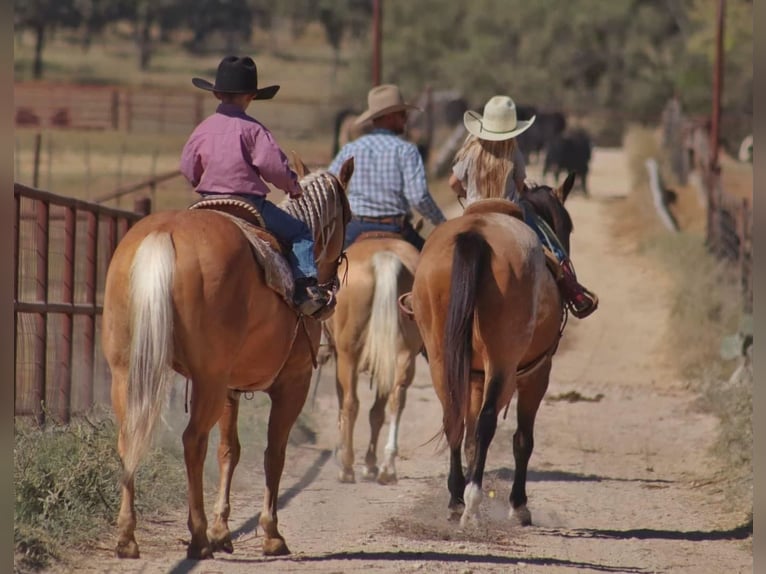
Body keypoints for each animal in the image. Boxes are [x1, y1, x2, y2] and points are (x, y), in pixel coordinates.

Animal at [100, 155, 356, 560]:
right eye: (348, 214)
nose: (326, 292)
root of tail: (165, 233)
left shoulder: (231, 389)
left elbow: (229, 451)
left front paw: (223, 530)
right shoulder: (293, 383)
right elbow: (274, 453)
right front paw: (270, 534)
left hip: (127, 374)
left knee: (129, 439)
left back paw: (128, 537)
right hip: (207, 380)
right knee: (193, 441)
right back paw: (198, 536)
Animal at [320, 237, 424, 486]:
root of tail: (385, 257)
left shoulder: (342, 359)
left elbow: (344, 405)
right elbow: (377, 413)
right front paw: (370, 465)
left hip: (348, 356)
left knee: (350, 403)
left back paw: (347, 467)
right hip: (403, 355)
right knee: (396, 400)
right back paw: (387, 468)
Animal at [412, 174, 580, 532]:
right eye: (568, 225)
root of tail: (475, 234)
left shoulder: (474, 377)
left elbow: (471, 437)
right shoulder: (536, 374)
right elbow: (522, 440)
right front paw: (519, 506)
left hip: (441, 358)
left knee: (453, 417)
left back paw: (456, 500)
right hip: (503, 360)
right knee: (489, 421)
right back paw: (473, 502)